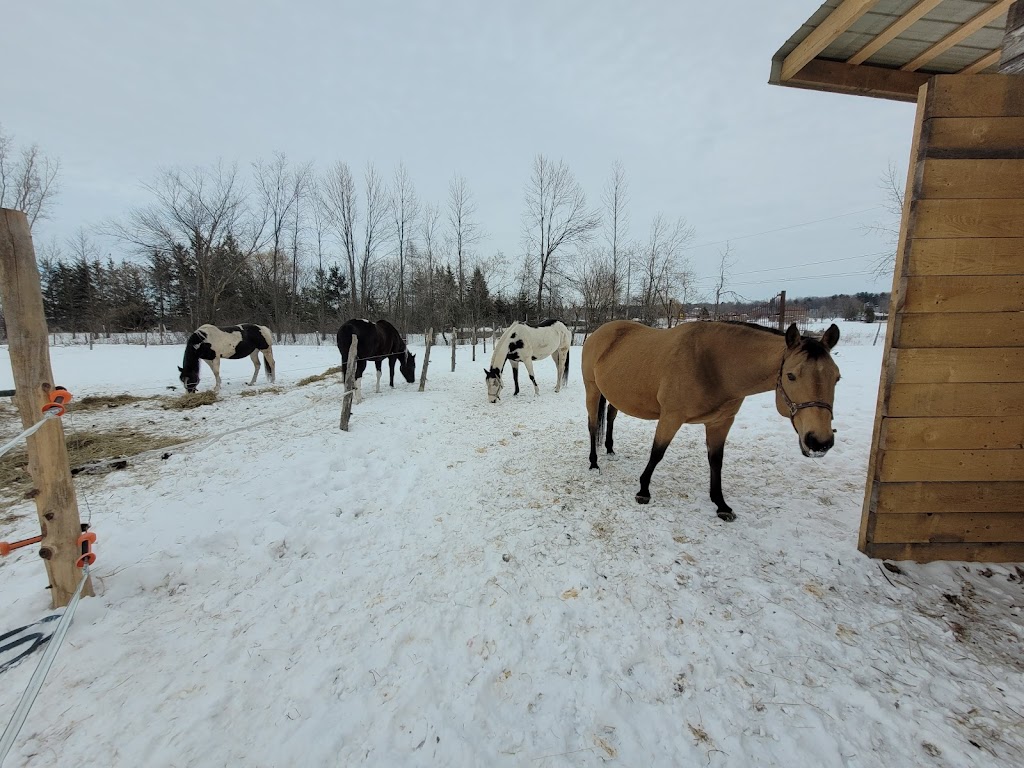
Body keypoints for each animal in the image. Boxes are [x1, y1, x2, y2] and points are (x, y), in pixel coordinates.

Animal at [585, 319, 839, 524]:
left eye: (837, 377)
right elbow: (657, 452)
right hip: (593, 390)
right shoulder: (671, 417)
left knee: (610, 418)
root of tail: (599, 332)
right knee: (593, 426)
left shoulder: (720, 422)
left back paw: (610, 449)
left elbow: (716, 461)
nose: (820, 442)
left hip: (614, 396)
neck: (713, 365)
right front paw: (643, 490)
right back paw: (594, 463)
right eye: (791, 376)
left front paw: (721, 504)